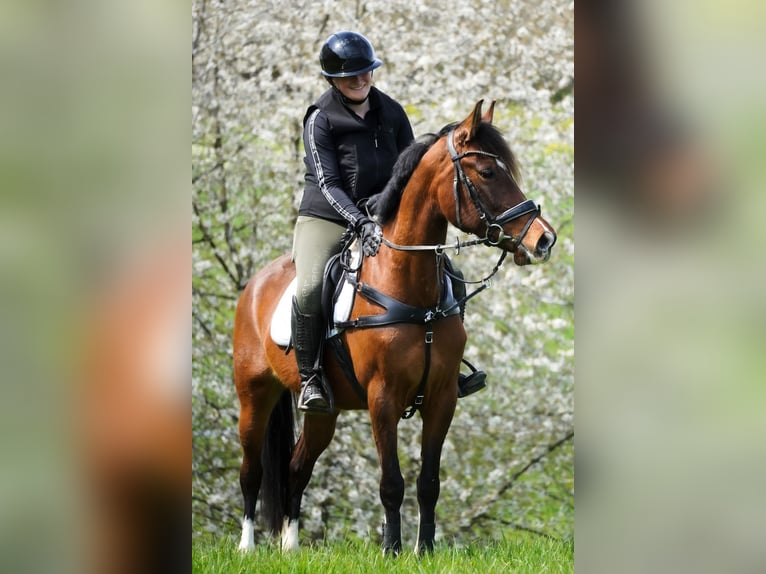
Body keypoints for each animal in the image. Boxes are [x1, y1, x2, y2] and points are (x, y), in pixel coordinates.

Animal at [233, 100, 557, 555]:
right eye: (488, 173)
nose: (544, 240)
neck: (409, 287)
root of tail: (255, 284)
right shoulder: (382, 399)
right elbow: (391, 482)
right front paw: (392, 550)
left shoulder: (441, 397)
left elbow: (428, 482)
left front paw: (425, 550)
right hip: (254, 397)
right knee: (251, 471)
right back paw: (247, 546)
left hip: (324, 412)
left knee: (297, 467)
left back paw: (290, 546)